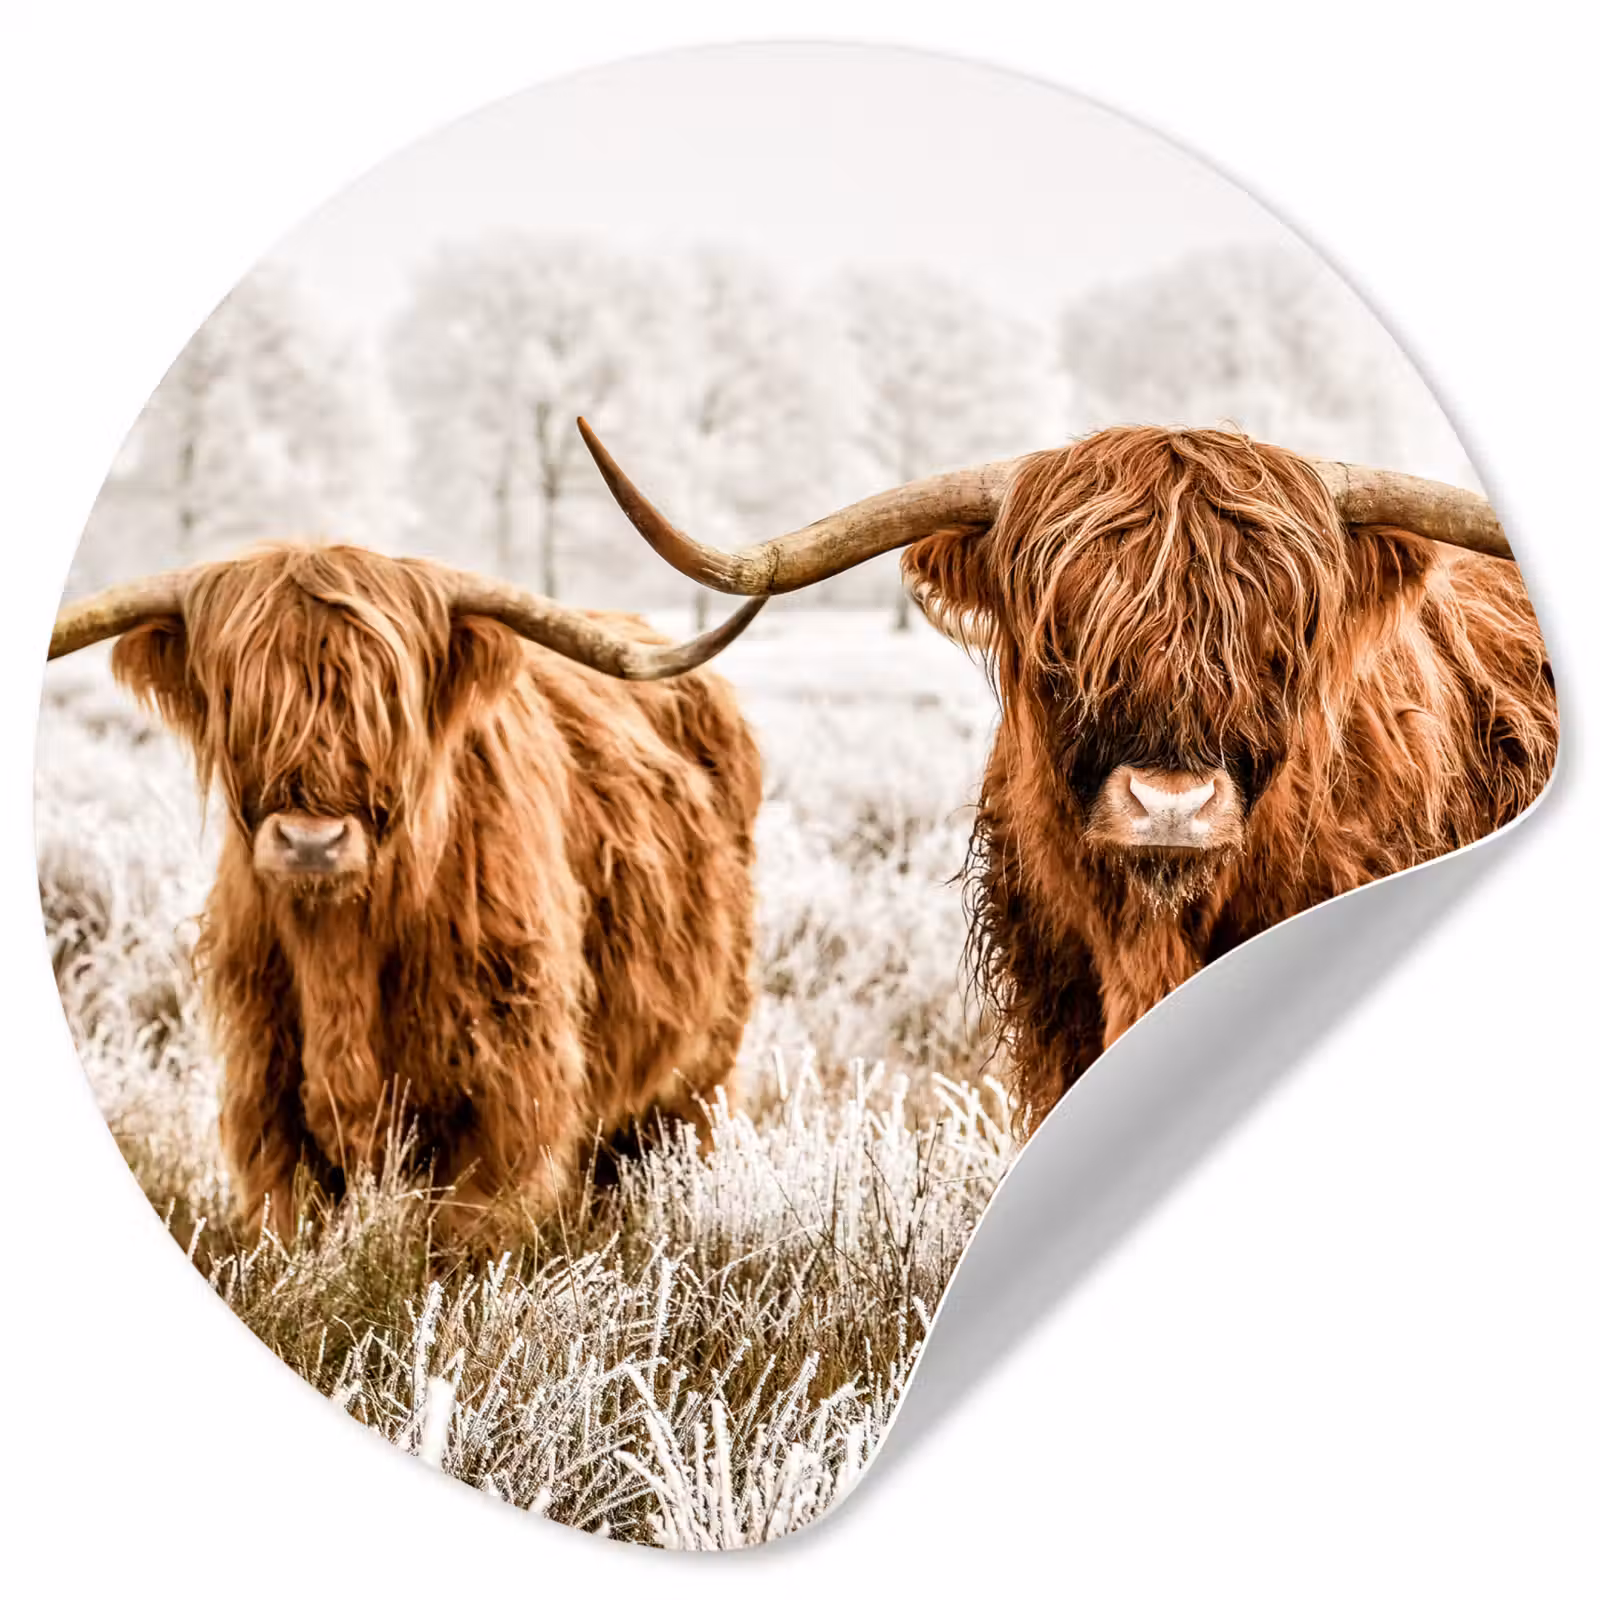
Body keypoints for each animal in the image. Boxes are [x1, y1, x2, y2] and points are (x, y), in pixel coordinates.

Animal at [48, 546, 767, 1244]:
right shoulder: (264, 1084)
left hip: (702, 1063)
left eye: (389, 703)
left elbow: (469, 1234)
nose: (312, 843)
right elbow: (288, 1225)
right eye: (238, 697)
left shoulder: (506, 1086)